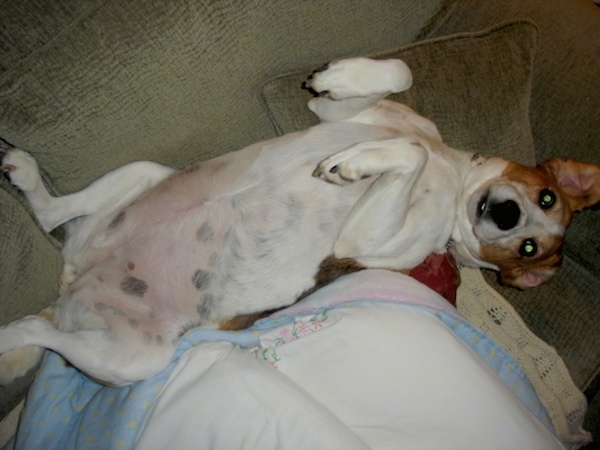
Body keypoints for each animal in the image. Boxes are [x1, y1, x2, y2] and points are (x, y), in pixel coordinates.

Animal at [1, 58, 600, 384]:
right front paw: (339, 77)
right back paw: (26, 174)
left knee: (37, 328)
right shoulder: (351, 115)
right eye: (546, 197)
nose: (507, 214)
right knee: (53, 213)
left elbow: (406, 153)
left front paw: (353, 164)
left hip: (137, 357)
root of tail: (75, 284)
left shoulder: (366, 238)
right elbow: (397, 77)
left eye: (529, 250)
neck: (452, 176)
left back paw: (12, 331)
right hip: (143, 178)